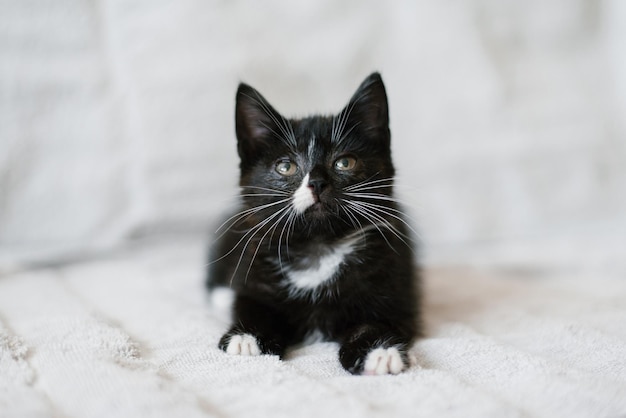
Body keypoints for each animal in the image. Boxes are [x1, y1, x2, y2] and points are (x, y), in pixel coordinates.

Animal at [206, 72, 420, 376]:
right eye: (285, 167)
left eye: (344, 162)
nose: (317, 183)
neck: (318, 246)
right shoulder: (255, 266)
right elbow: (250, 304)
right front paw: (248, 337)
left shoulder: (394, 280)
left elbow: (377, 320)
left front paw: (379, 351)